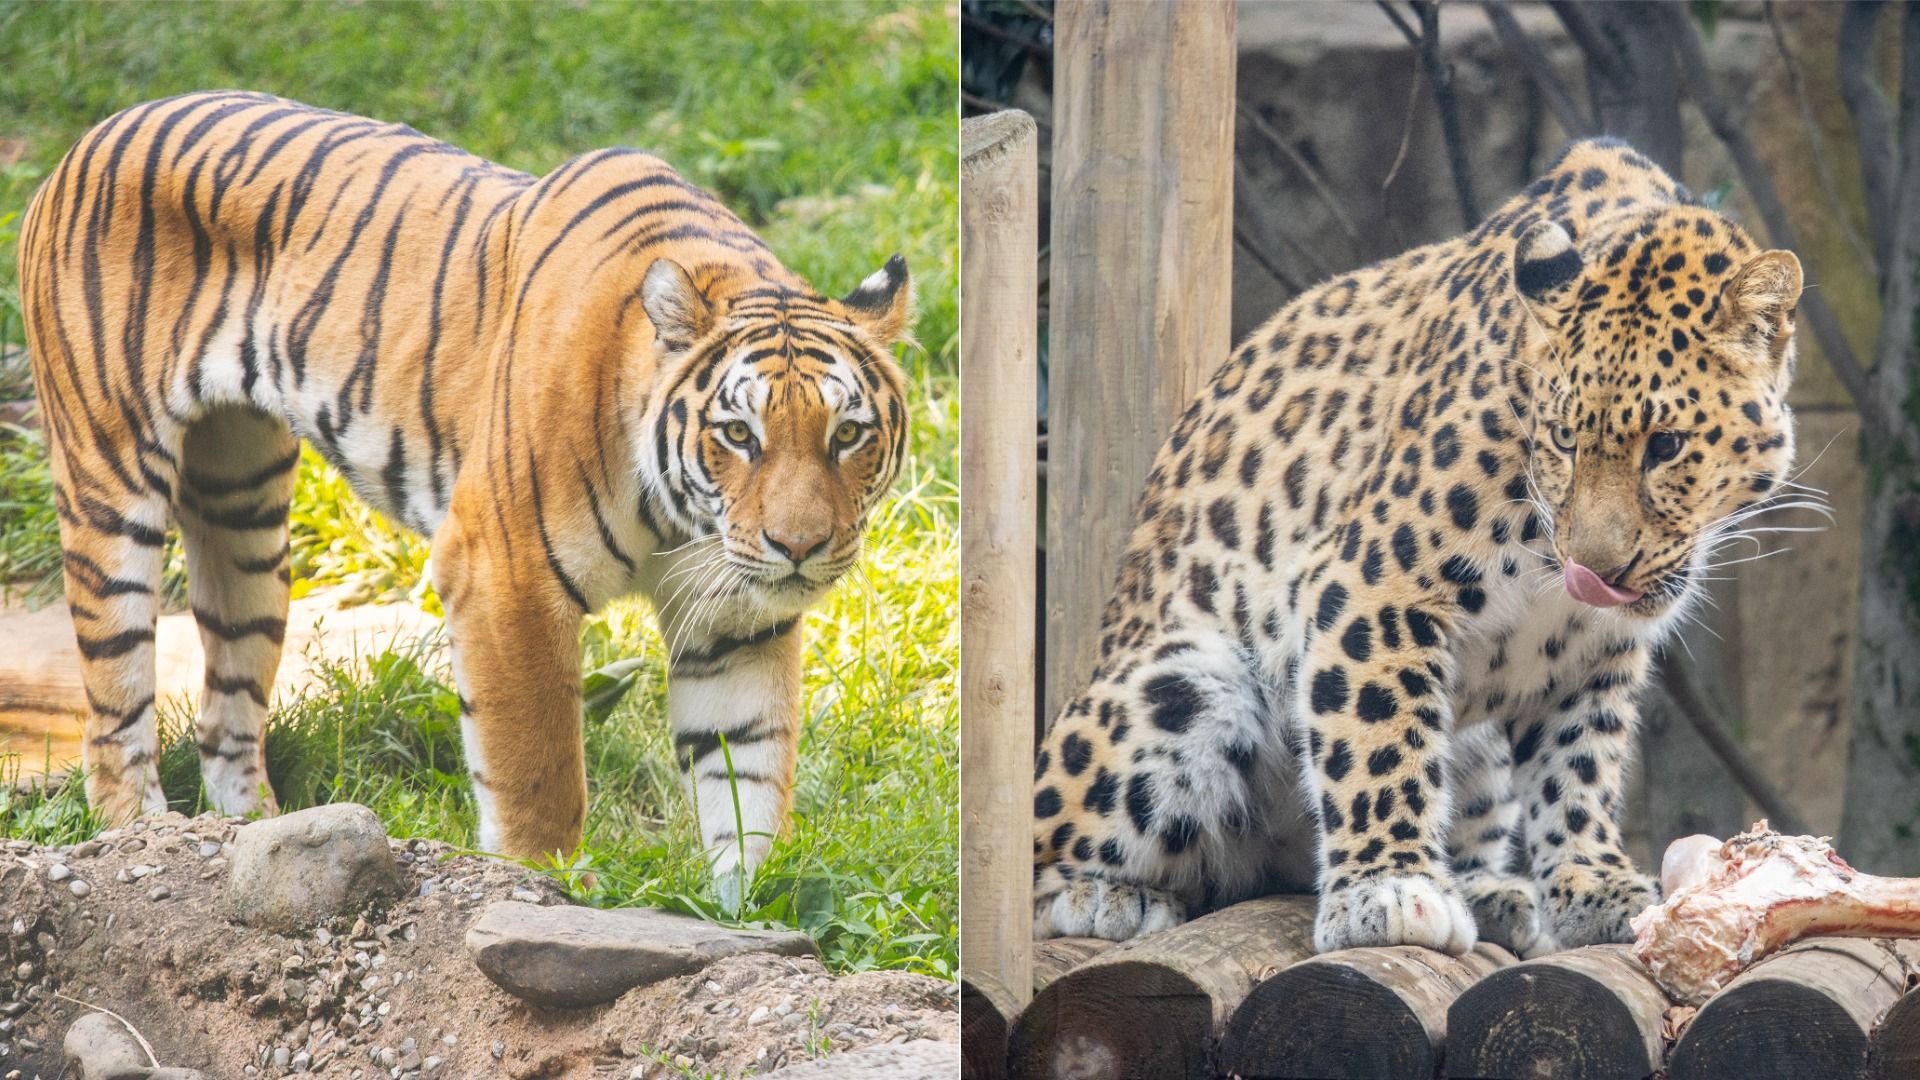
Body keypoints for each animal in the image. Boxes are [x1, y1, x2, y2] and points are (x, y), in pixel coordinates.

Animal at [18, 90, 912, 897]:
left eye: (846, 435)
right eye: (738, 435)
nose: (799, 547)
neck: (683, 516)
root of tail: (88, 137)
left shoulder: (733, 616)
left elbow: (748, 771)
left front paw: (748, 903)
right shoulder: (505, 573)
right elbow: (537, 764)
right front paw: (549, 883)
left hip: (245, 511)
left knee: (225, 710)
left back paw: (249, 835)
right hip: (111, 481)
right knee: (112, 710)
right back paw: (144, 836)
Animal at [1030, 138, 1805, 957]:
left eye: (1666, 445)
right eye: (1565, 439)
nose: (1593, 572)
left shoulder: (1592, 652)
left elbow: (1579, 765)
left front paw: (1593, 885)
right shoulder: (1371, 586)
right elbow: (1377, 736)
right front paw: (1389, 889)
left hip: (1479, 749)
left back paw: (1492, 892)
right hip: (1182, 682)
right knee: (1042, 852)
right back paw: (1106, 895)